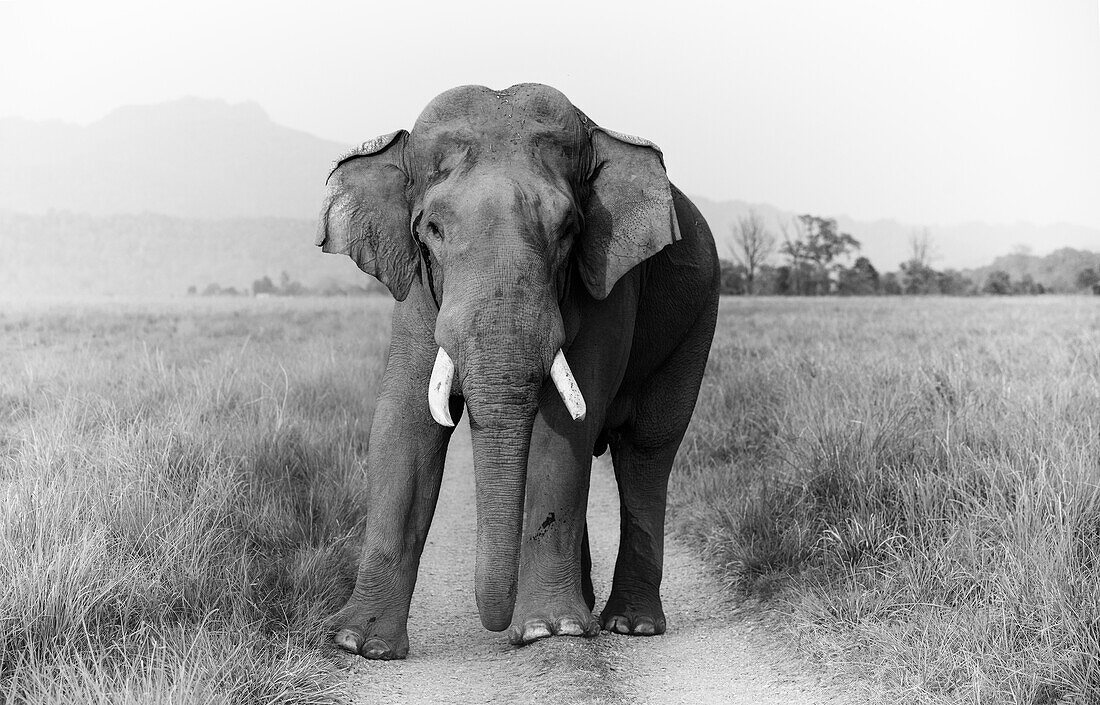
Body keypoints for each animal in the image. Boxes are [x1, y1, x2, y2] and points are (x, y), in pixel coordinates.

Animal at [316, 83, 721, 659]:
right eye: (432, 229)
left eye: (568, 229)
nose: (496, 627)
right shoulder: (419, 287)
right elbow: (404, 426)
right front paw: (358, 643)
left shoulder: (607, 283)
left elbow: (563, 429)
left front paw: (549, 631)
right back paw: (590, 608)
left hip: (699, 317)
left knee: (647, 452)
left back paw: (629, 624)